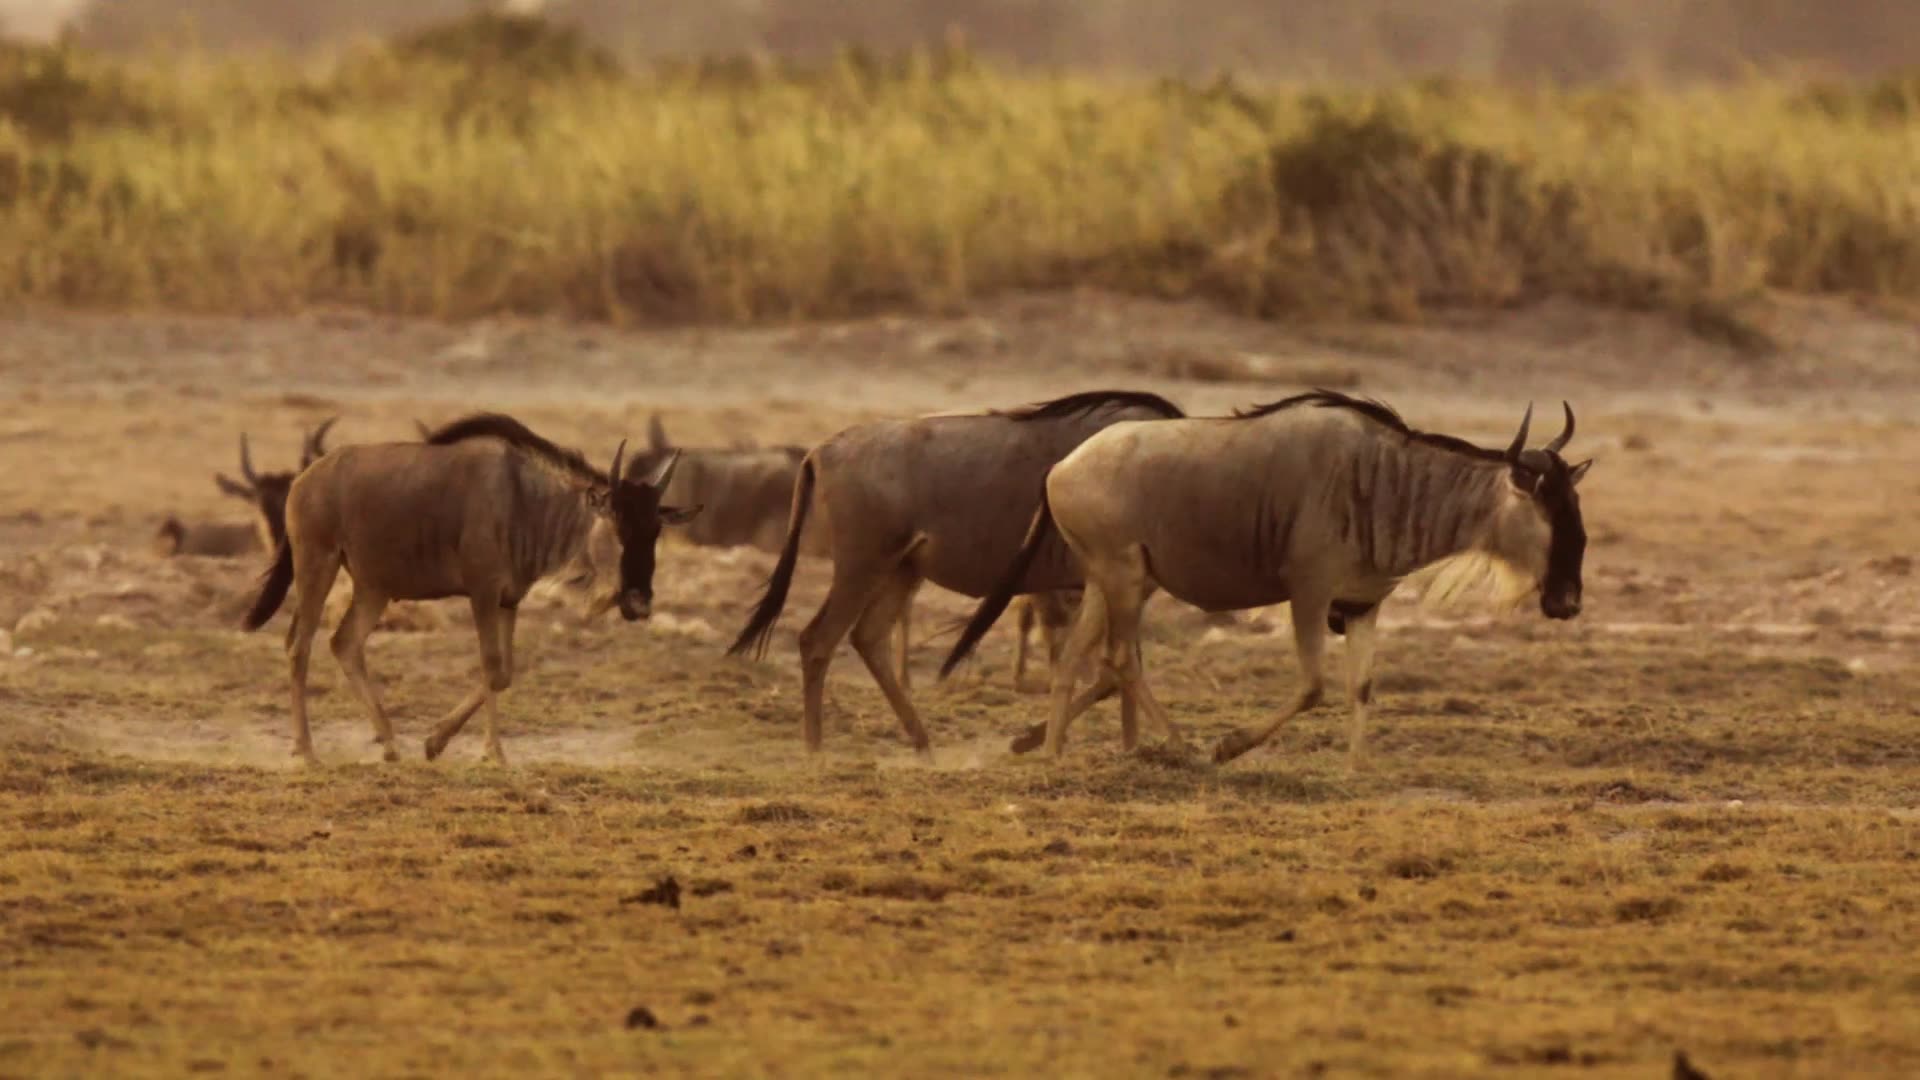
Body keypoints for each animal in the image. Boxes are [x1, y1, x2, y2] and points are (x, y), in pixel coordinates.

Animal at [240, 413, 701, 766]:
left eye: (655, 530)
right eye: (617, 525)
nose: (639, 603)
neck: (524, 500)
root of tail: (303, 480)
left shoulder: (509, 599)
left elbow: (505, 673)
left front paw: (435, 741)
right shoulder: (482, 592)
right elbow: (492, 668)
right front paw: (490, 752)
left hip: (373, 588)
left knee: (344, 643)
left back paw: (389, 744)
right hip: (317, 565)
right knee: (299, 644)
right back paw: (306, 751)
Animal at [726, 389, 1185, 756]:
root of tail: (822, 449)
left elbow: (1114, 672)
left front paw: (1130, 748)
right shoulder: (1110, 584)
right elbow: (1112, 671)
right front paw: (1031, 741)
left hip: (902, 571)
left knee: (868, 639)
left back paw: (923, 745)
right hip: (862, 567)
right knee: (818, 640)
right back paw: (816, 751)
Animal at [940, 391, 1591, 765]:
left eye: (1577, 514)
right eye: (1547, 512)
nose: (1567, 603)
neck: (1389, 481)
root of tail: (1060, 467)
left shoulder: (1363, 605)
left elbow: (1361, 687)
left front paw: (1355, 769)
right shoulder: (1309, 594)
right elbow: (1313, 687)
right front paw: (1229, 745)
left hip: (1112, 581)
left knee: (1080, 656)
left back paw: (1049, 751)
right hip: (1125, 579)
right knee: (1119, 658)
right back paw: (1181, 748)